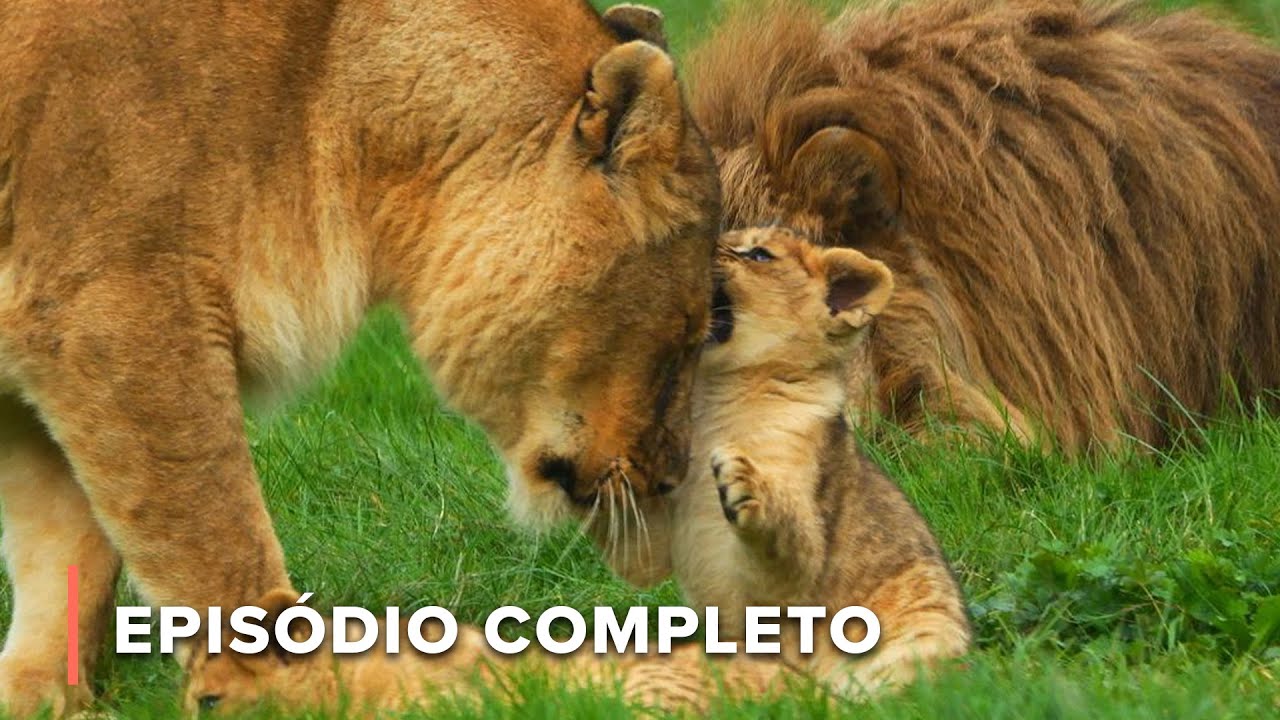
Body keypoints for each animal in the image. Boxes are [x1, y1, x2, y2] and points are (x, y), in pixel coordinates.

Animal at [0, 1, 718, 715]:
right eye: (688, 332)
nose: (671, 477)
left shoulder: (52, 327)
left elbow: (67, 546)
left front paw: (39, 694)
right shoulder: (118, 307)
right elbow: (210, 525)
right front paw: (288, 687)